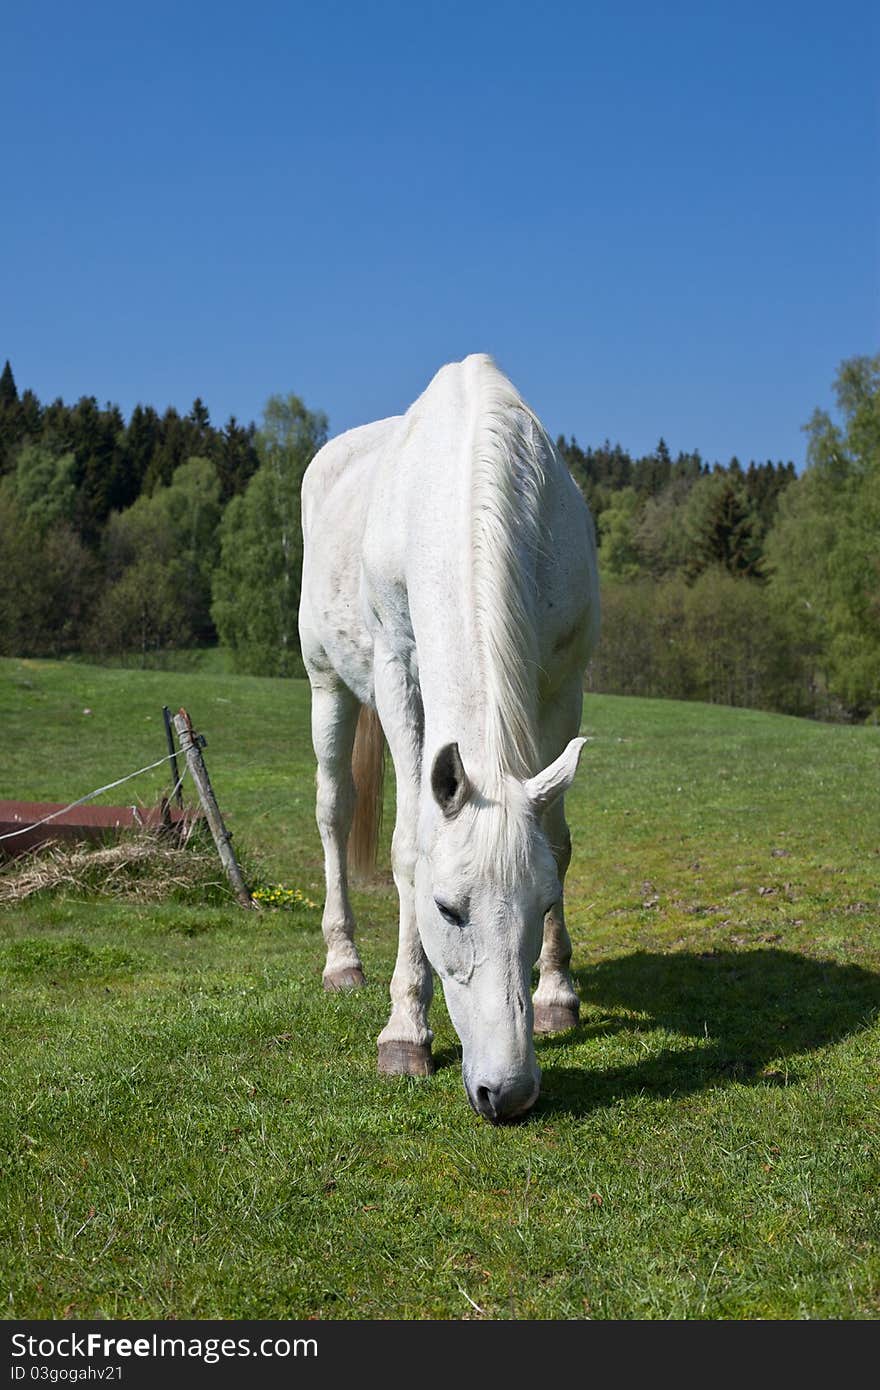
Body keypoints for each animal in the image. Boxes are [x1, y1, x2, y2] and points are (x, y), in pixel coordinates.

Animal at [300, 353, 597, 1123]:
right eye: (447, 910)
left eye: (542, 905)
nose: (508, 1092)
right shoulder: (397, 670)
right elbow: (409, 846)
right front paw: (405, 1030)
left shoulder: (565, 683)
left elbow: (558, 838)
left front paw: (557, 994)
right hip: (326, 685)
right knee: (333, 810)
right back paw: (343, 961)